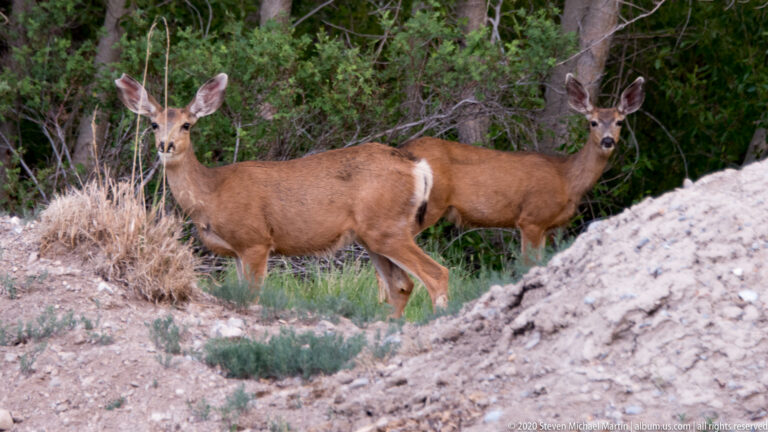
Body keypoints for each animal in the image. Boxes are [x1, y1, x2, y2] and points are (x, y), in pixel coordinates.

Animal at [115, 73, 448, 317]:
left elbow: (252, 296)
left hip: (387, 228)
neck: (212, 193)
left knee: (437, 274)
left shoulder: (255, 240)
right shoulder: (236, 250)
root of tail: (417, 167)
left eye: (186, 125)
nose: (165, 145)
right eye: (153, 124)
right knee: (402, 285)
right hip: (373, 236)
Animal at [373, 74, 644, 305]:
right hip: (425, 209)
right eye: (593, 122)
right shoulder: (531, 218)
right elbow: (528, 264)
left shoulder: (545, 226)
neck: (566, 179)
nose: (608, 140)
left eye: (620, 121)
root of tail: (402, 149)